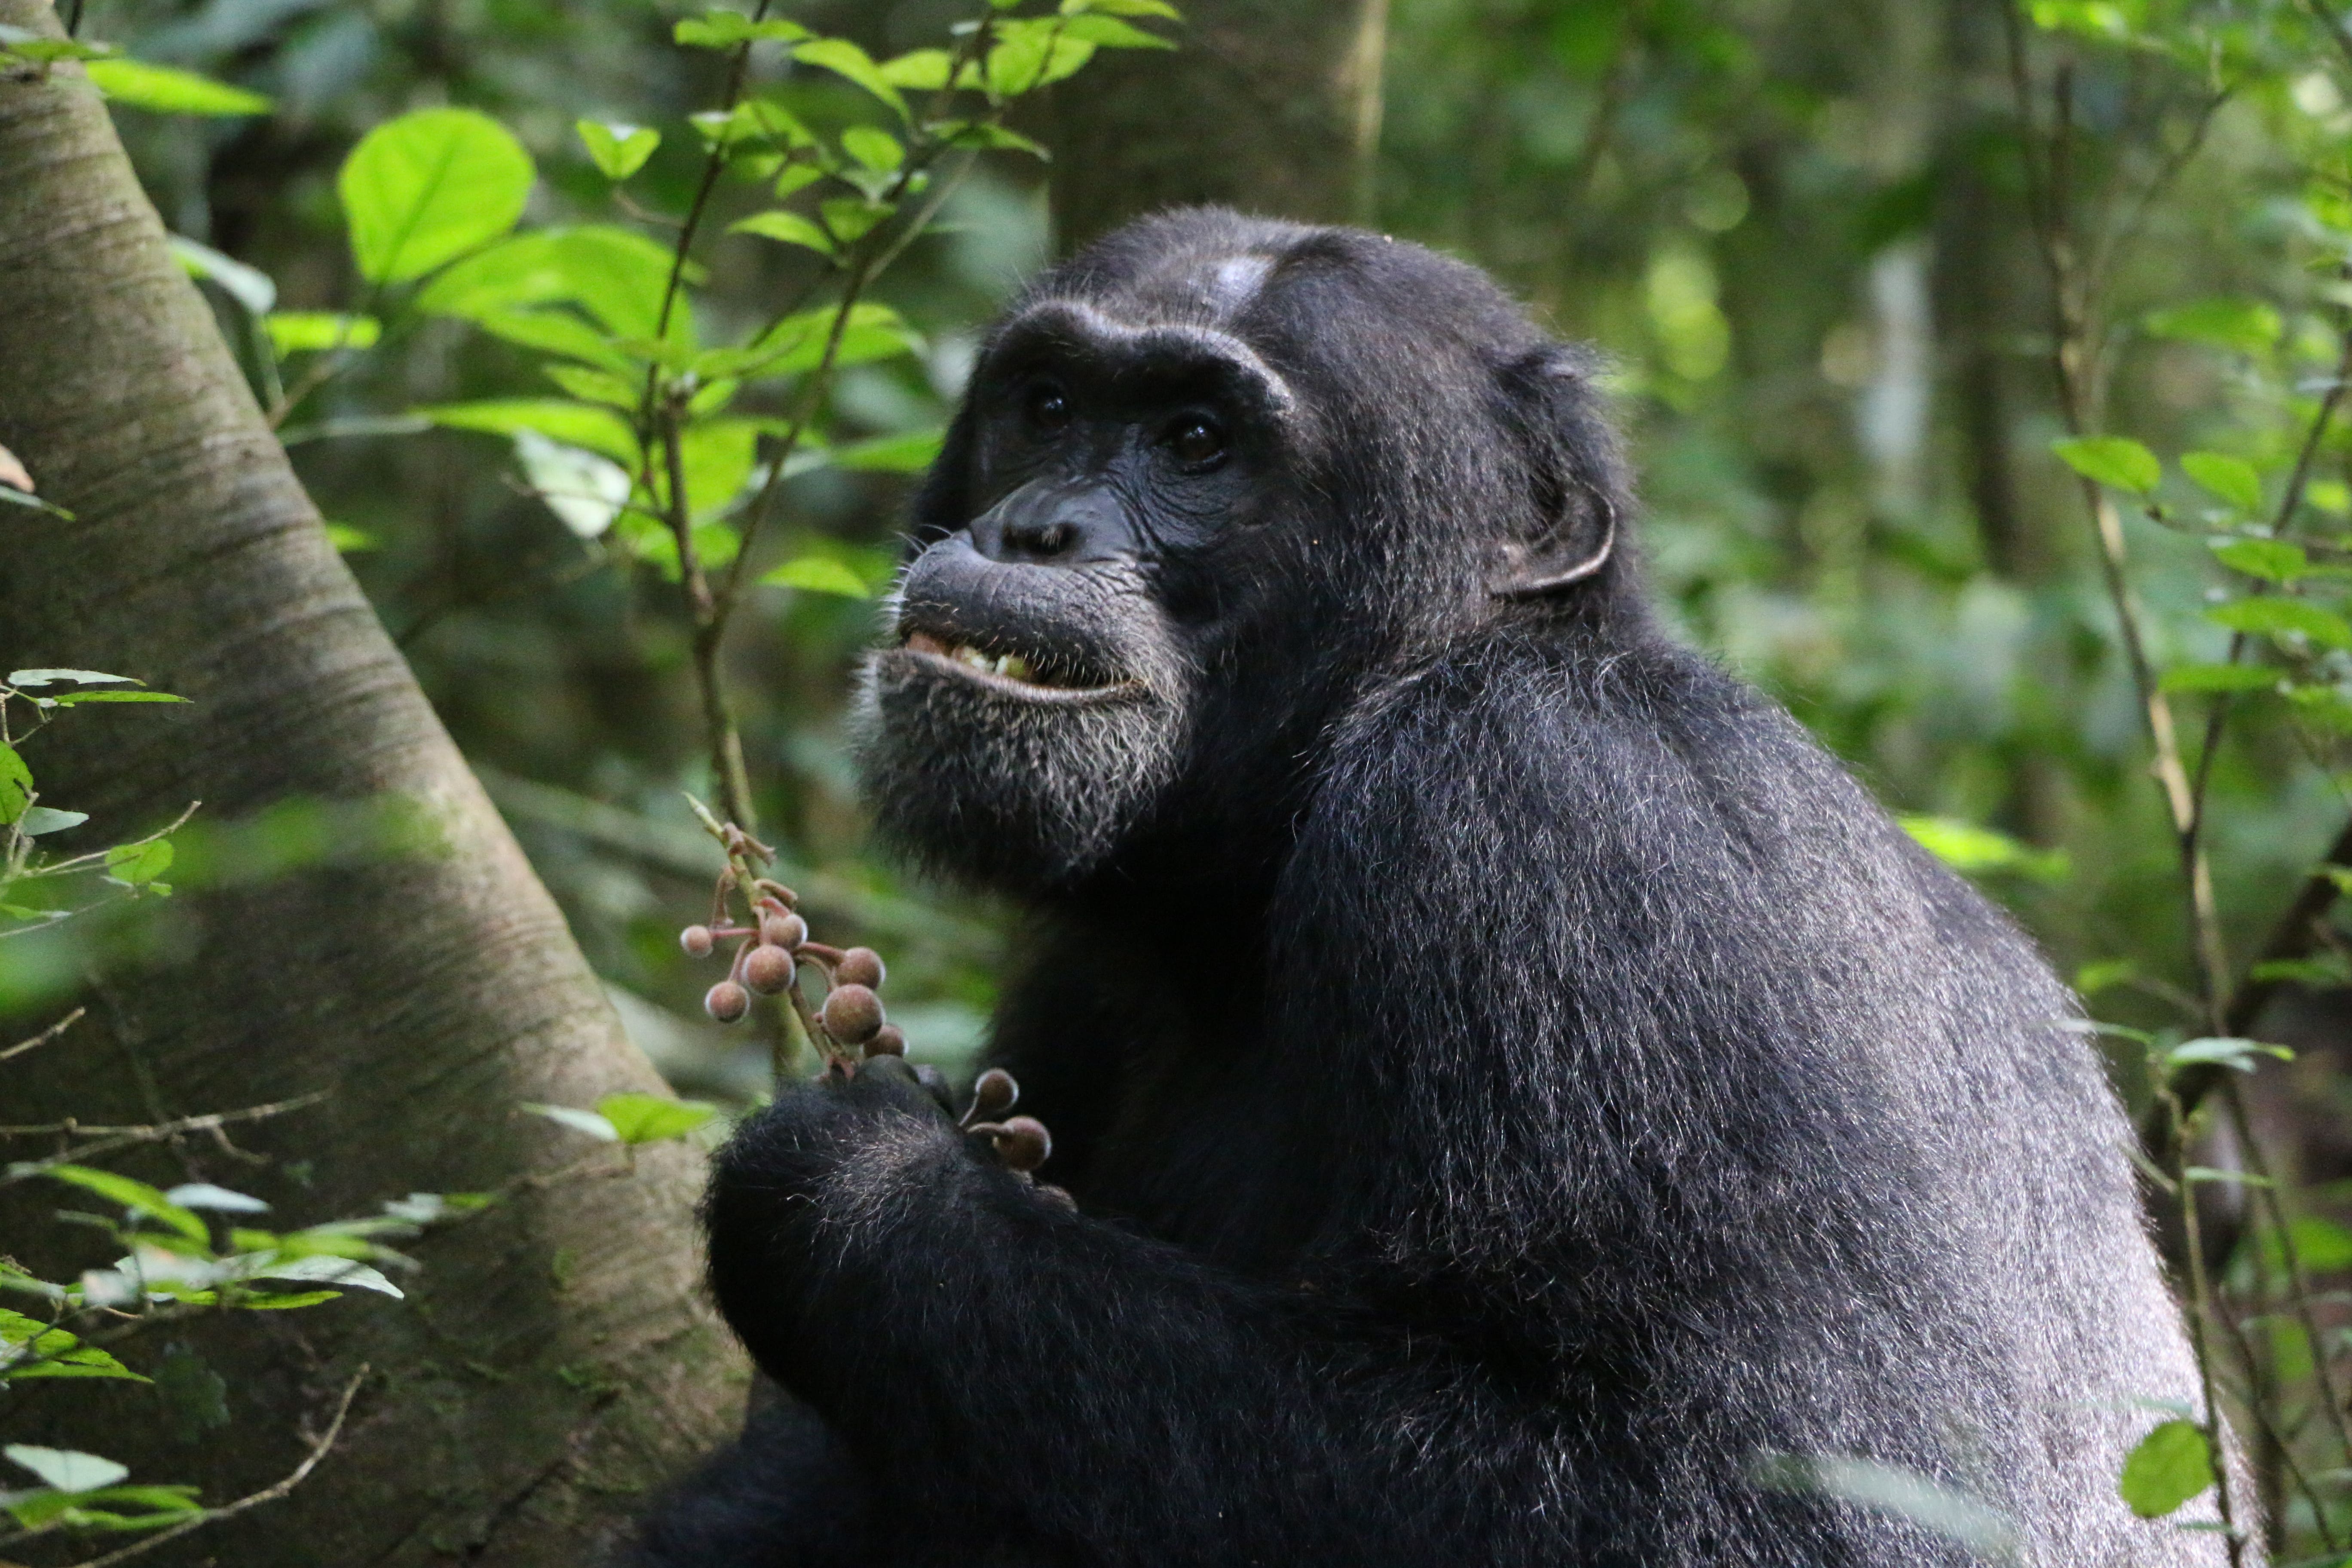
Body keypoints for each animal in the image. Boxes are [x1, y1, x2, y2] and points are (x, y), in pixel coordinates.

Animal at [625, 211, 2220, 1568]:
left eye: (1196, 439)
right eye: (1052, 405)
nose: (1035, 528)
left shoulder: (1556, 828)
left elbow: (1775, 1493)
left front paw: (853, 1191)